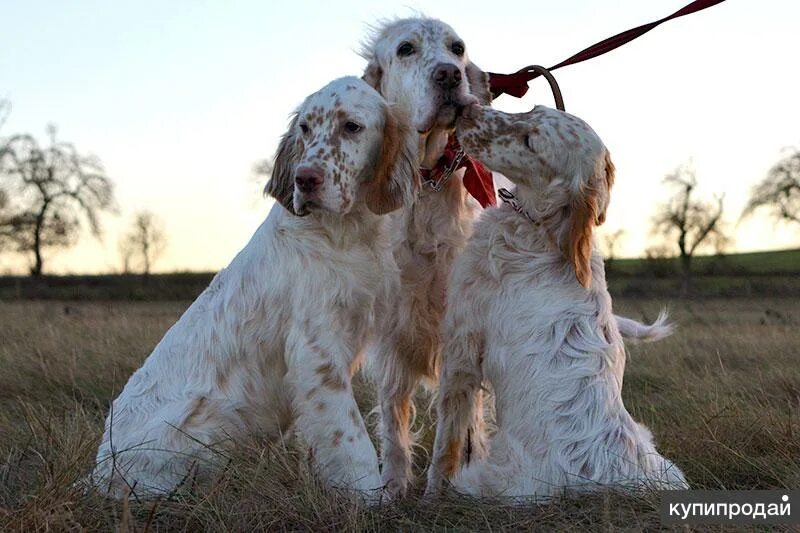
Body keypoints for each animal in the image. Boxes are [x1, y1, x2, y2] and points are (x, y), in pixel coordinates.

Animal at [90, 76, 418, 498]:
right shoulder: (317, 353)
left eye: (352, 127)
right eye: (305, 128)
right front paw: (373, 498)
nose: (304, 179)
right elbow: (351, 440)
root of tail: (98, 472)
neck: (344, 231)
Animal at [424, 105, 688, 498]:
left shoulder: (461, 349)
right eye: (533, 109)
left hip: (486, 478)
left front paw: (429, 494)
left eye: (531, 142)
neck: (542, 229)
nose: (468, 109)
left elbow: (446, 445)